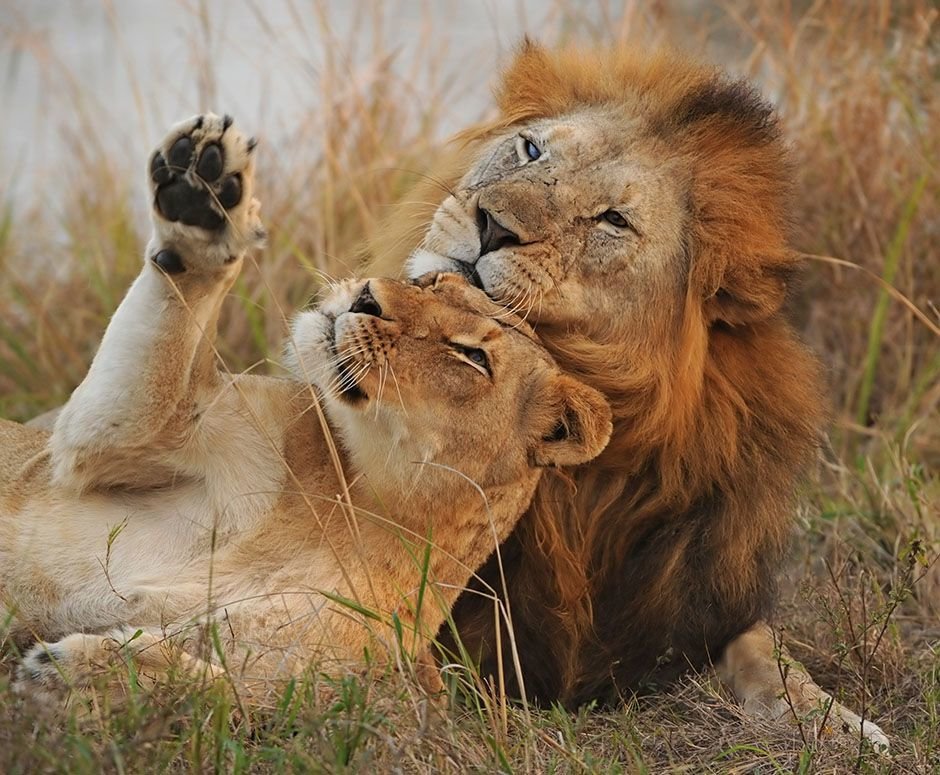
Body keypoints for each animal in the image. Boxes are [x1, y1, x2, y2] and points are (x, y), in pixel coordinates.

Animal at [0, 114, 612, 708]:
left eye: (471, 355)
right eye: (430, 280)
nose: (366, 297)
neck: (358, 508)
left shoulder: (309, 680)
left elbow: (206, 687)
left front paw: (67, 674)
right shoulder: (123, 437)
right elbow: (165, 338)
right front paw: (203, 198)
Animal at [364, 42, 889, 747]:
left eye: (613, 219)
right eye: (531, 149)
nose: (492, 225)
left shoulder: (689, 602)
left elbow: (769, 653)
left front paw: (839, 723)